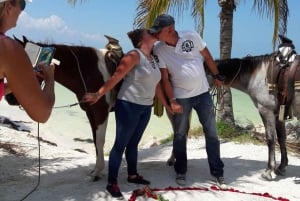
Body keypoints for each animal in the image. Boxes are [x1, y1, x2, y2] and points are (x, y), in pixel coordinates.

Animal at [9, 35, 123, 181]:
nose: (9, 98)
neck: (90, 71)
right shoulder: (90, 112)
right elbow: (95, 140)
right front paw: (96, 170)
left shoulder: (101, 111)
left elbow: (100, 141)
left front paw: (98, 171)